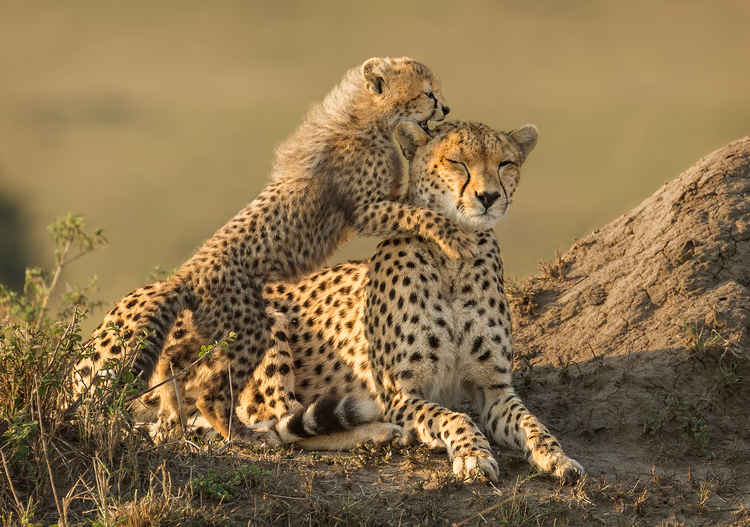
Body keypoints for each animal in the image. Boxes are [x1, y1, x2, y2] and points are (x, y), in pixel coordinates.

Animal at [73, 57, 470, 444]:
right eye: (429, 93)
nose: (447, 107)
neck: (368, 121)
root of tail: (185, 275)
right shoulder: (367, 210)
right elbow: (415, 211)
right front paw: (453, 231)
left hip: (209, 330)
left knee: (172, 361)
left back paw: (174, 411)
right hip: (252, 326)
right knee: (223, 396)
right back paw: (247, 434)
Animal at [154, 119, 588, 482]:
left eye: (505, 163)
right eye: (456, 162)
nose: (488, 197)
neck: (454, 258)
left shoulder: (493, 387)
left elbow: (531, 422)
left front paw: (558, 456)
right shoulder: (401, 393)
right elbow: (452, 417)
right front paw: (472, 454)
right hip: (268, 327)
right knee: (276, 429)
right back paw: (379, 431)